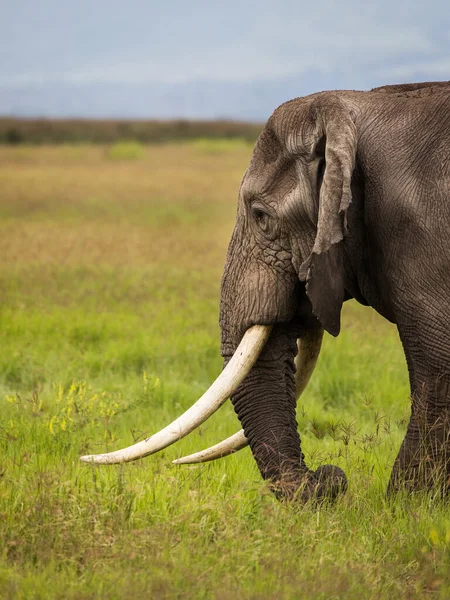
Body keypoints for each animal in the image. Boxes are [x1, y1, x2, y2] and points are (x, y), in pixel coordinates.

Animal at [82, 79, 450, 502]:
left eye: (261, 216)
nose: (330, 477)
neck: (353, 107)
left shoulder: (422, 234)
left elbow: (438, 367)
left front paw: (407, 506)